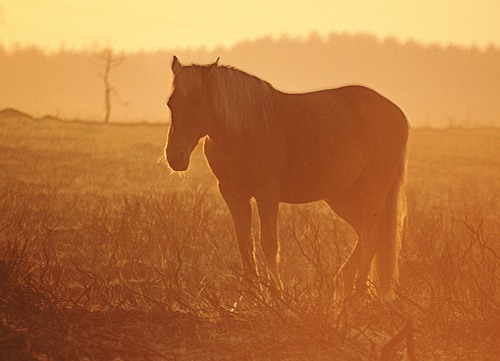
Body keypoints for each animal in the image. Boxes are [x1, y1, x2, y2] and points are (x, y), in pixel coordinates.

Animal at [166, 55, 408, 298]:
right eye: (170, 103)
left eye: (197, 101)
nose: (175, 157)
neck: (245, 129)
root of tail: (398, 114)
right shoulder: (233, 193)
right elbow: (245, 244)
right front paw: (248, 298)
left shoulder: (267, 193)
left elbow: (269, 243)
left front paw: (276, 296)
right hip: (341, 195)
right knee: (367, 233)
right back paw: (344, 286)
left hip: (375, 186)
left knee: (370, 235)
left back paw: (357, 295)